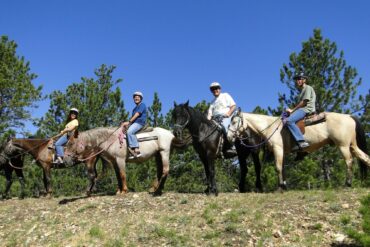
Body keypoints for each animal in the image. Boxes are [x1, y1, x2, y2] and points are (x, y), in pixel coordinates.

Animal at [228, 111, 370, 190]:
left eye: (234, 121)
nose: (229, 137)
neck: (271, 127)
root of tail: (349, 116)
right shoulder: (282, 152)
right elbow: (283, 169)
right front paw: (284, 186)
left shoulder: (278, 149)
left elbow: (278, 168)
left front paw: (280, 187)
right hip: (352, 146)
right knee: (365, 158)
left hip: (343, 145)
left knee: (349, 162)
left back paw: (347, 184)